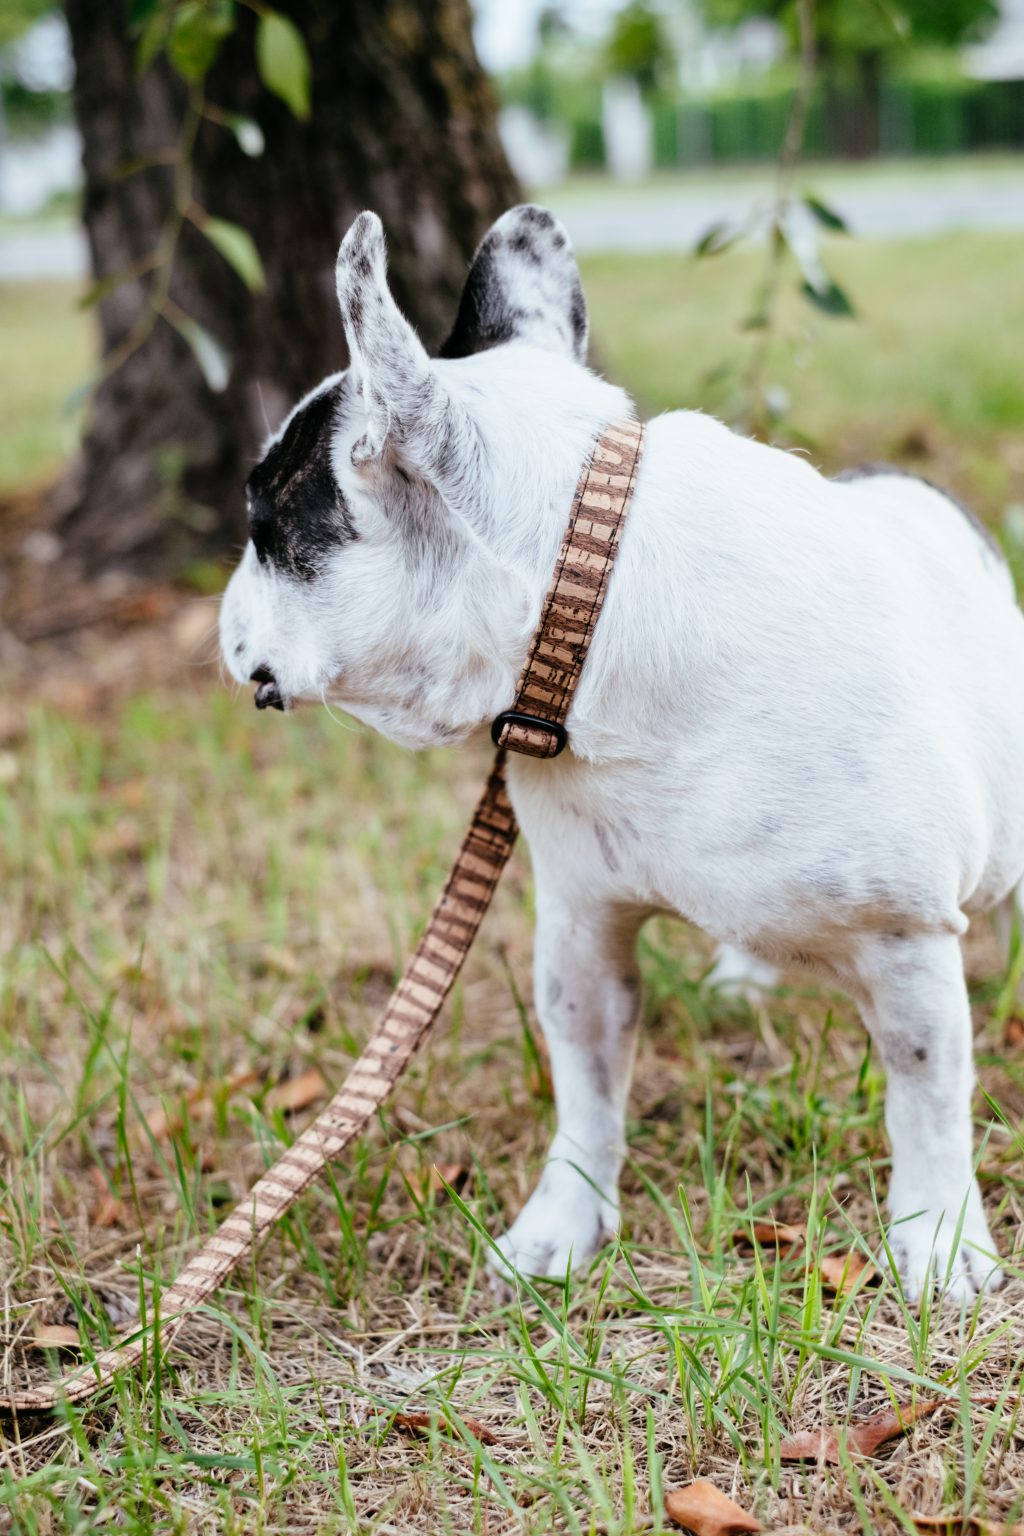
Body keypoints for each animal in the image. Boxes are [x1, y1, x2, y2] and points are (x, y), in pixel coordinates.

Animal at [218, 204, 1024, 1302]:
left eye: (265, 522)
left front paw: (939, 1239)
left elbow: (926, 1098)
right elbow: (587, 1090)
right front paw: (562, 1224)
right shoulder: (581, 928)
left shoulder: (905, 945)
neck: (596, 602)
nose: (222, 613)